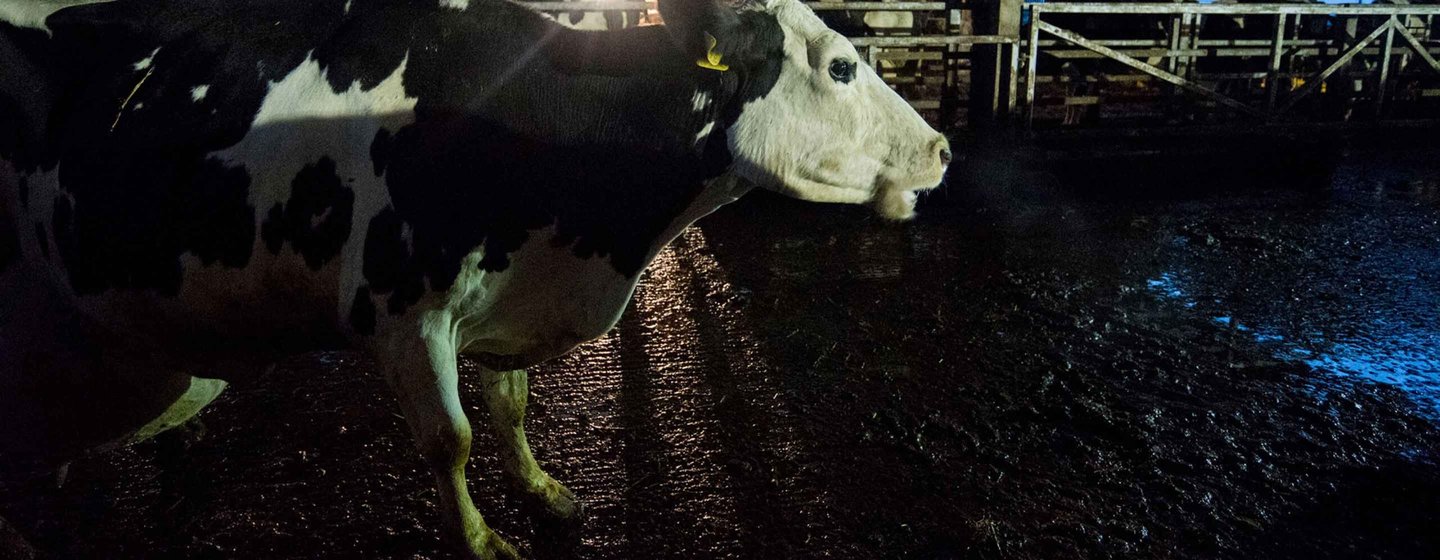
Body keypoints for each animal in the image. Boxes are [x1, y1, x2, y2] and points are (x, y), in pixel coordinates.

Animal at [0, 0, 950, 557]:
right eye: (841, 66)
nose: (942, 150)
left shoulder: (506, 302)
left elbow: (512, 405)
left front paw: (542, 490)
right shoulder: (401, 313)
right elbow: (450, 439)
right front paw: (484, 539)